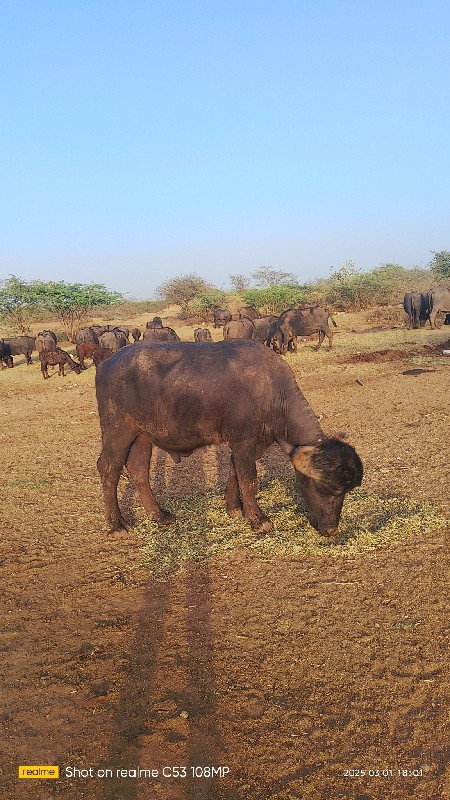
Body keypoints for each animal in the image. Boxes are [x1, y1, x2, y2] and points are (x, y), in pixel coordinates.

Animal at [96, 338, 364, 536]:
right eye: (326, 488)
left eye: (346, 491)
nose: (331, 530)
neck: (272, 392)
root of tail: (106, 364)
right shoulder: (243, 439)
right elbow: (249, 478)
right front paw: (257, 519)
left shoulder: (254, 442)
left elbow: (236, 470)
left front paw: (234, 507)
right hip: (118, 430)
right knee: (108, 467)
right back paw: (116, 525)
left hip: (142, 435)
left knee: (139, 470)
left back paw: (159, 515)